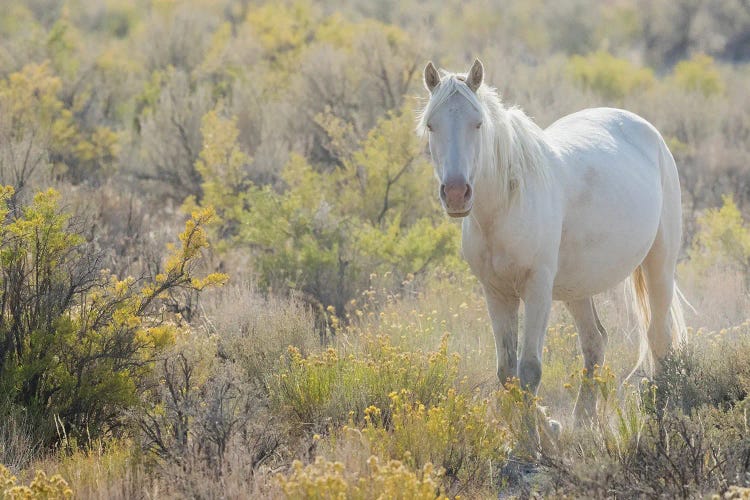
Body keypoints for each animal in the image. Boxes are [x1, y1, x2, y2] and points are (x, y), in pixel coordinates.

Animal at [420, 59, 692, 426]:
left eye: (478, 123)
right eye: (431, 126)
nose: (455, 193)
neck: (505, 206)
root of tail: (648, 132)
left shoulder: (537, 288)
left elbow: (529, 372)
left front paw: (538, 435)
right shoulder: (496, 293)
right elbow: (507, 373)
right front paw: (546, 429)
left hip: (659, 265)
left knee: (658, 338)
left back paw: (658, 417)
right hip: (578, 288)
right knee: (595, 341)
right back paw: (582, 423)